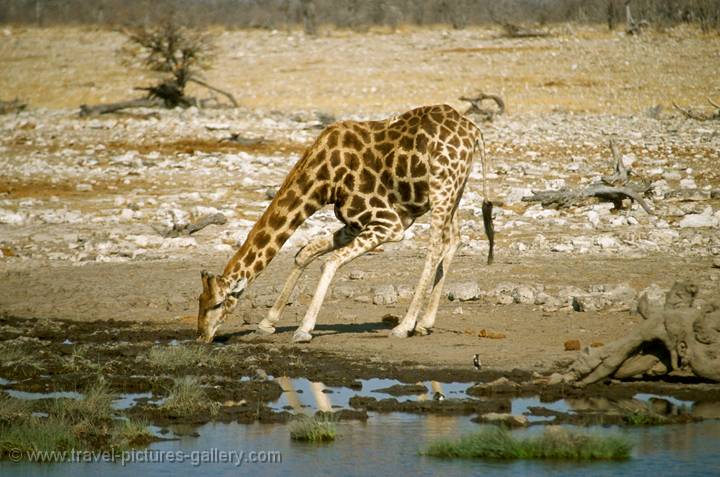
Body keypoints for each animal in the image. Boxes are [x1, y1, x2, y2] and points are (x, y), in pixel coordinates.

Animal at [197, 103, 496, 342]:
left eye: (218, 304)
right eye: (199, 300)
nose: (202, 336)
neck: (323, 180)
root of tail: (474, 131)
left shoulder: (388, 223)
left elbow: (329, 261)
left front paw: (304, 329)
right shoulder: (354, 222)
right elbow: (305, 252)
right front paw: (268, 322)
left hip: (443, 188)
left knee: (435, 247)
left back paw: (404, 326)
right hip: (452, 190)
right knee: (453, 239)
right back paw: (424, 324)